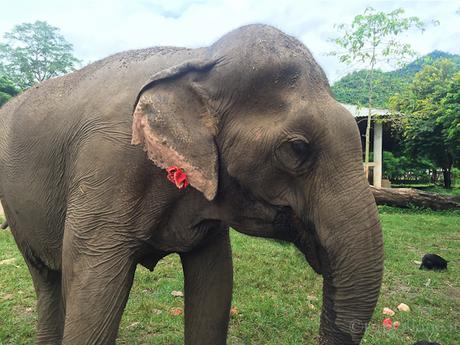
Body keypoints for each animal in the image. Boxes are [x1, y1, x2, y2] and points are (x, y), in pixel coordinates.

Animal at [0, 24, 382, 344]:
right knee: (48, 280)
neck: (199, 58)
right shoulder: (106, 168)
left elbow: (215, 285)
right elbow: (94, 291)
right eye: (298, 149)